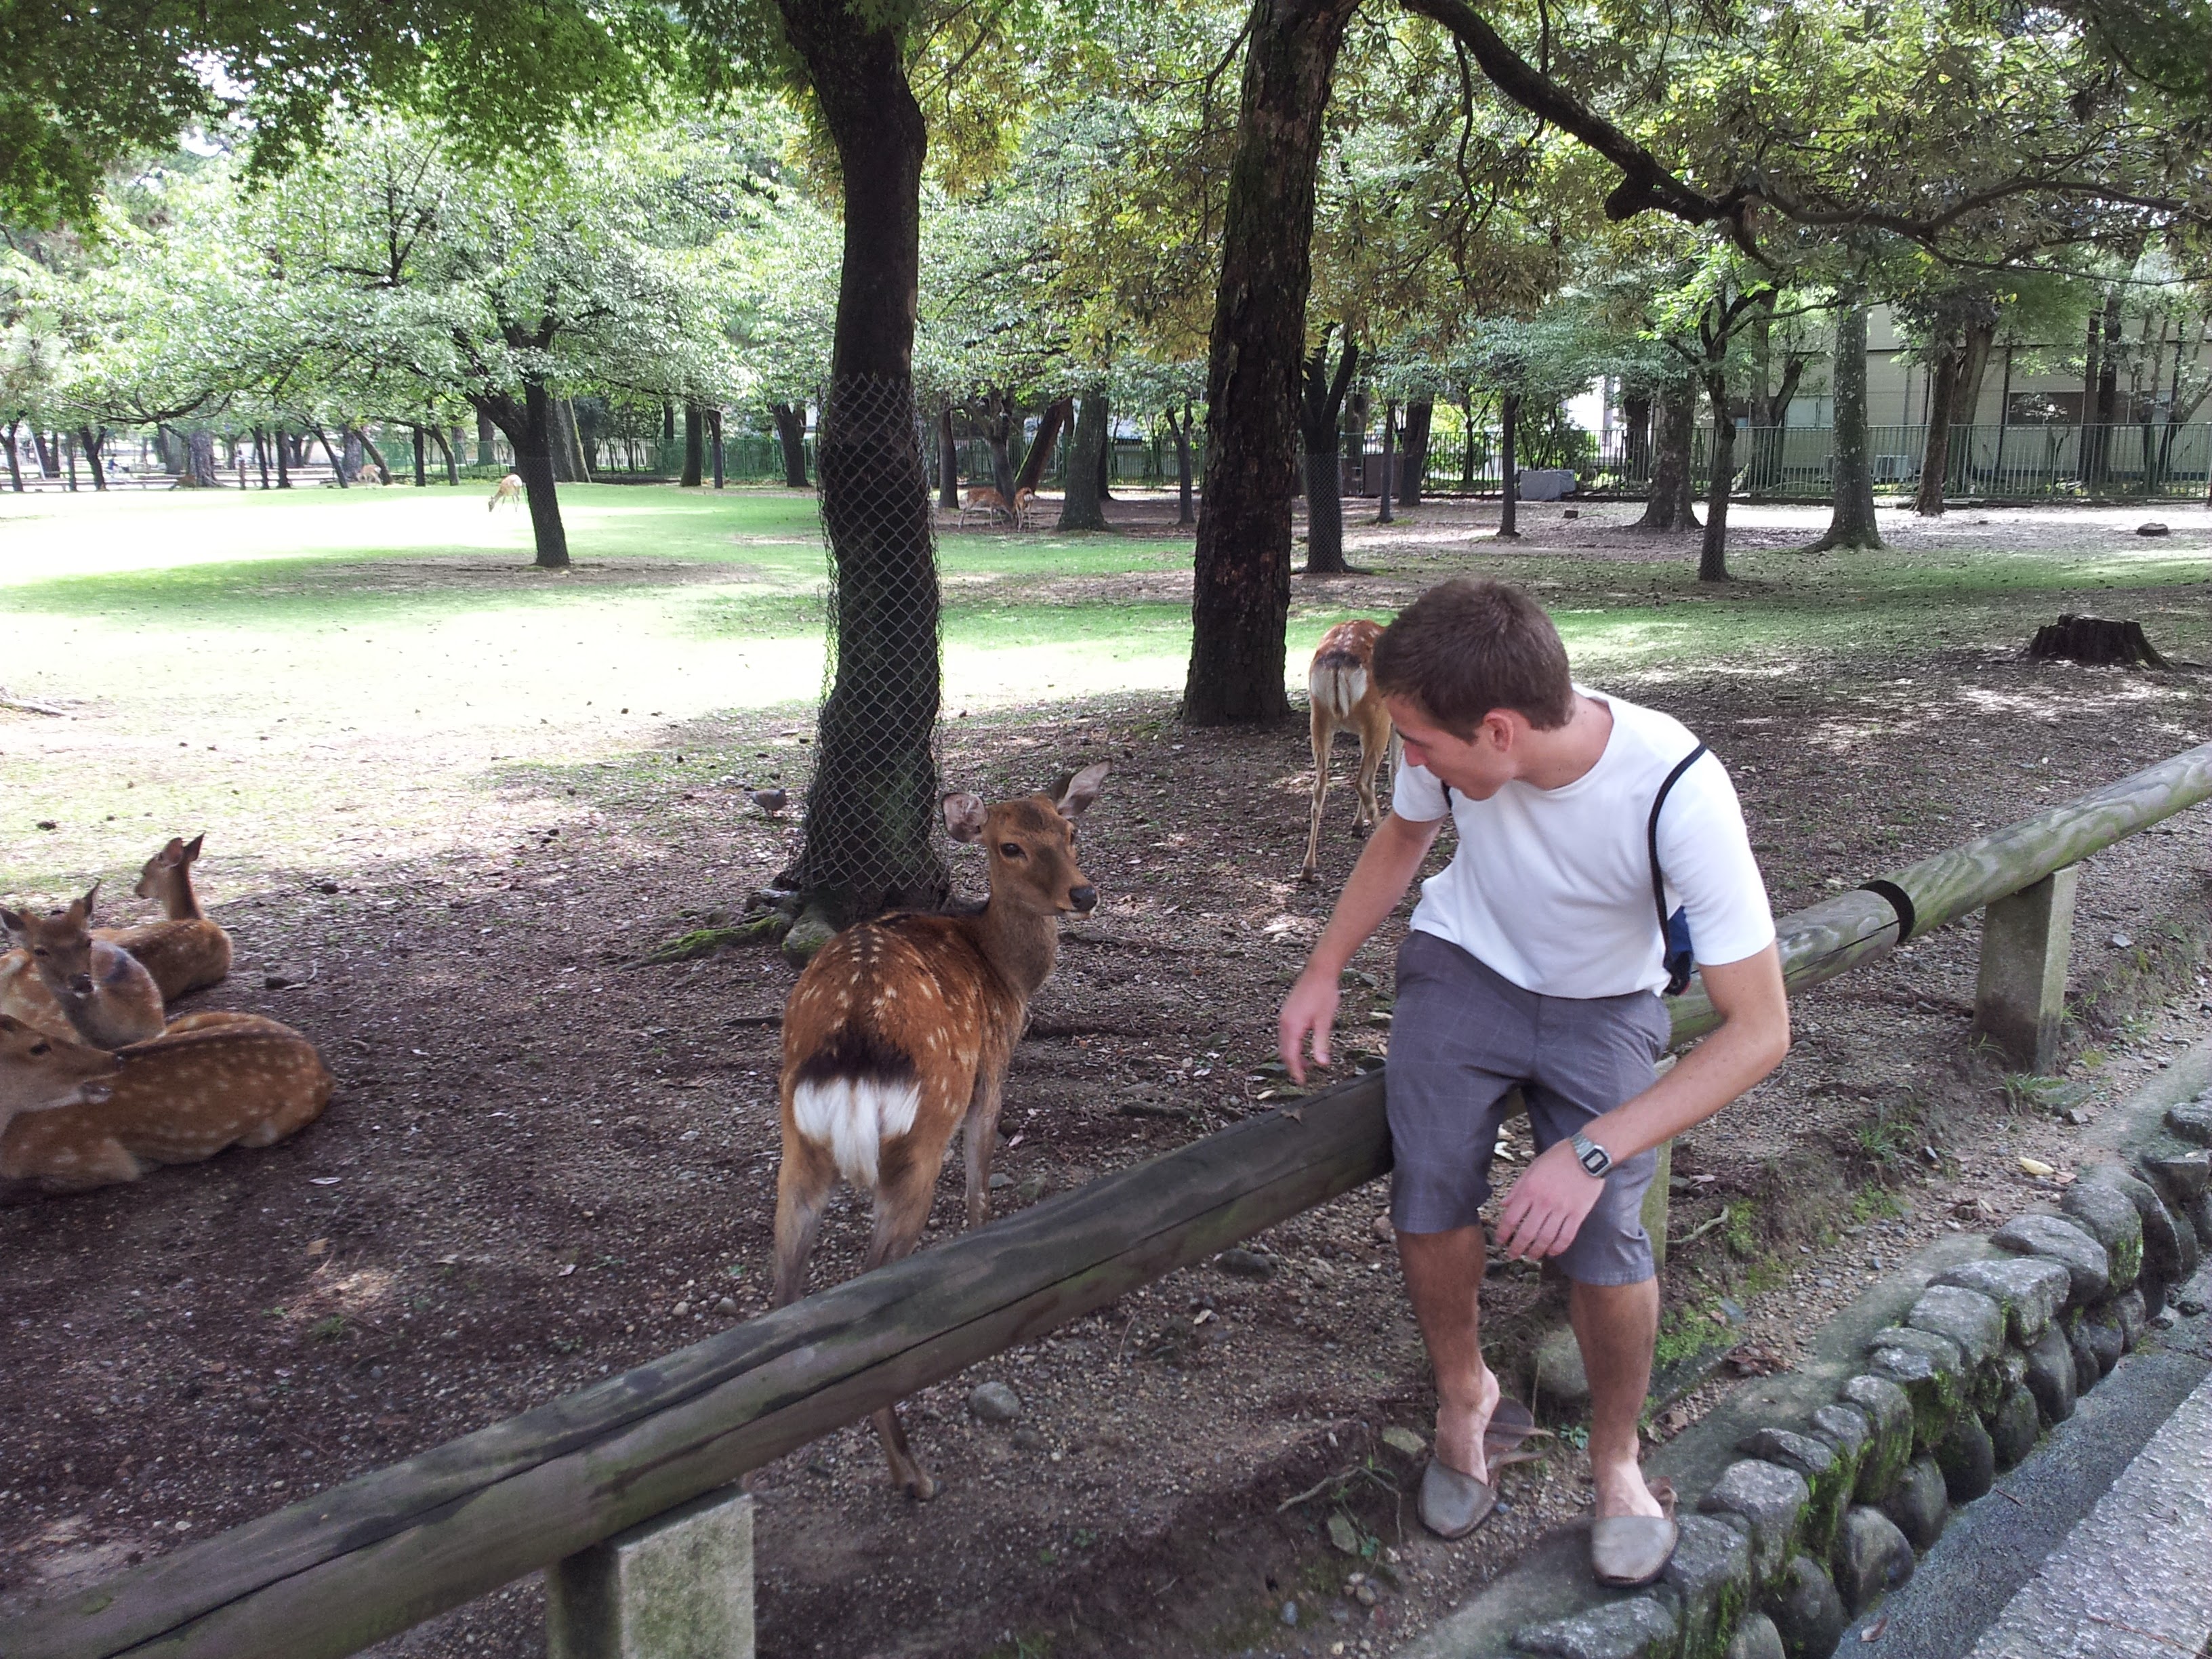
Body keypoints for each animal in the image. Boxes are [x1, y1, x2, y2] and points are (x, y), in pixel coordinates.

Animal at [771, 762, 1110, 1500]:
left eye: (1070, 832)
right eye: (1010, 847)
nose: (1084, 894)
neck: (1006, 971)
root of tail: (851, 1054)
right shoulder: (992, 1063)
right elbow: (981, 1177)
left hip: (798, 1145)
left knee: (785, 1288)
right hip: (919, 1141)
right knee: (872, 1297)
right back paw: (911, 1473)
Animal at [1300, 619, 1401, 882]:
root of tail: (1338, 661)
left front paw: (1357, 824)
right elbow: (1394, 770)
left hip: (1319, 717)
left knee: (1320, 784)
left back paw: (1308, 868)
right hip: (1379, 717)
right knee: (1363, 781)